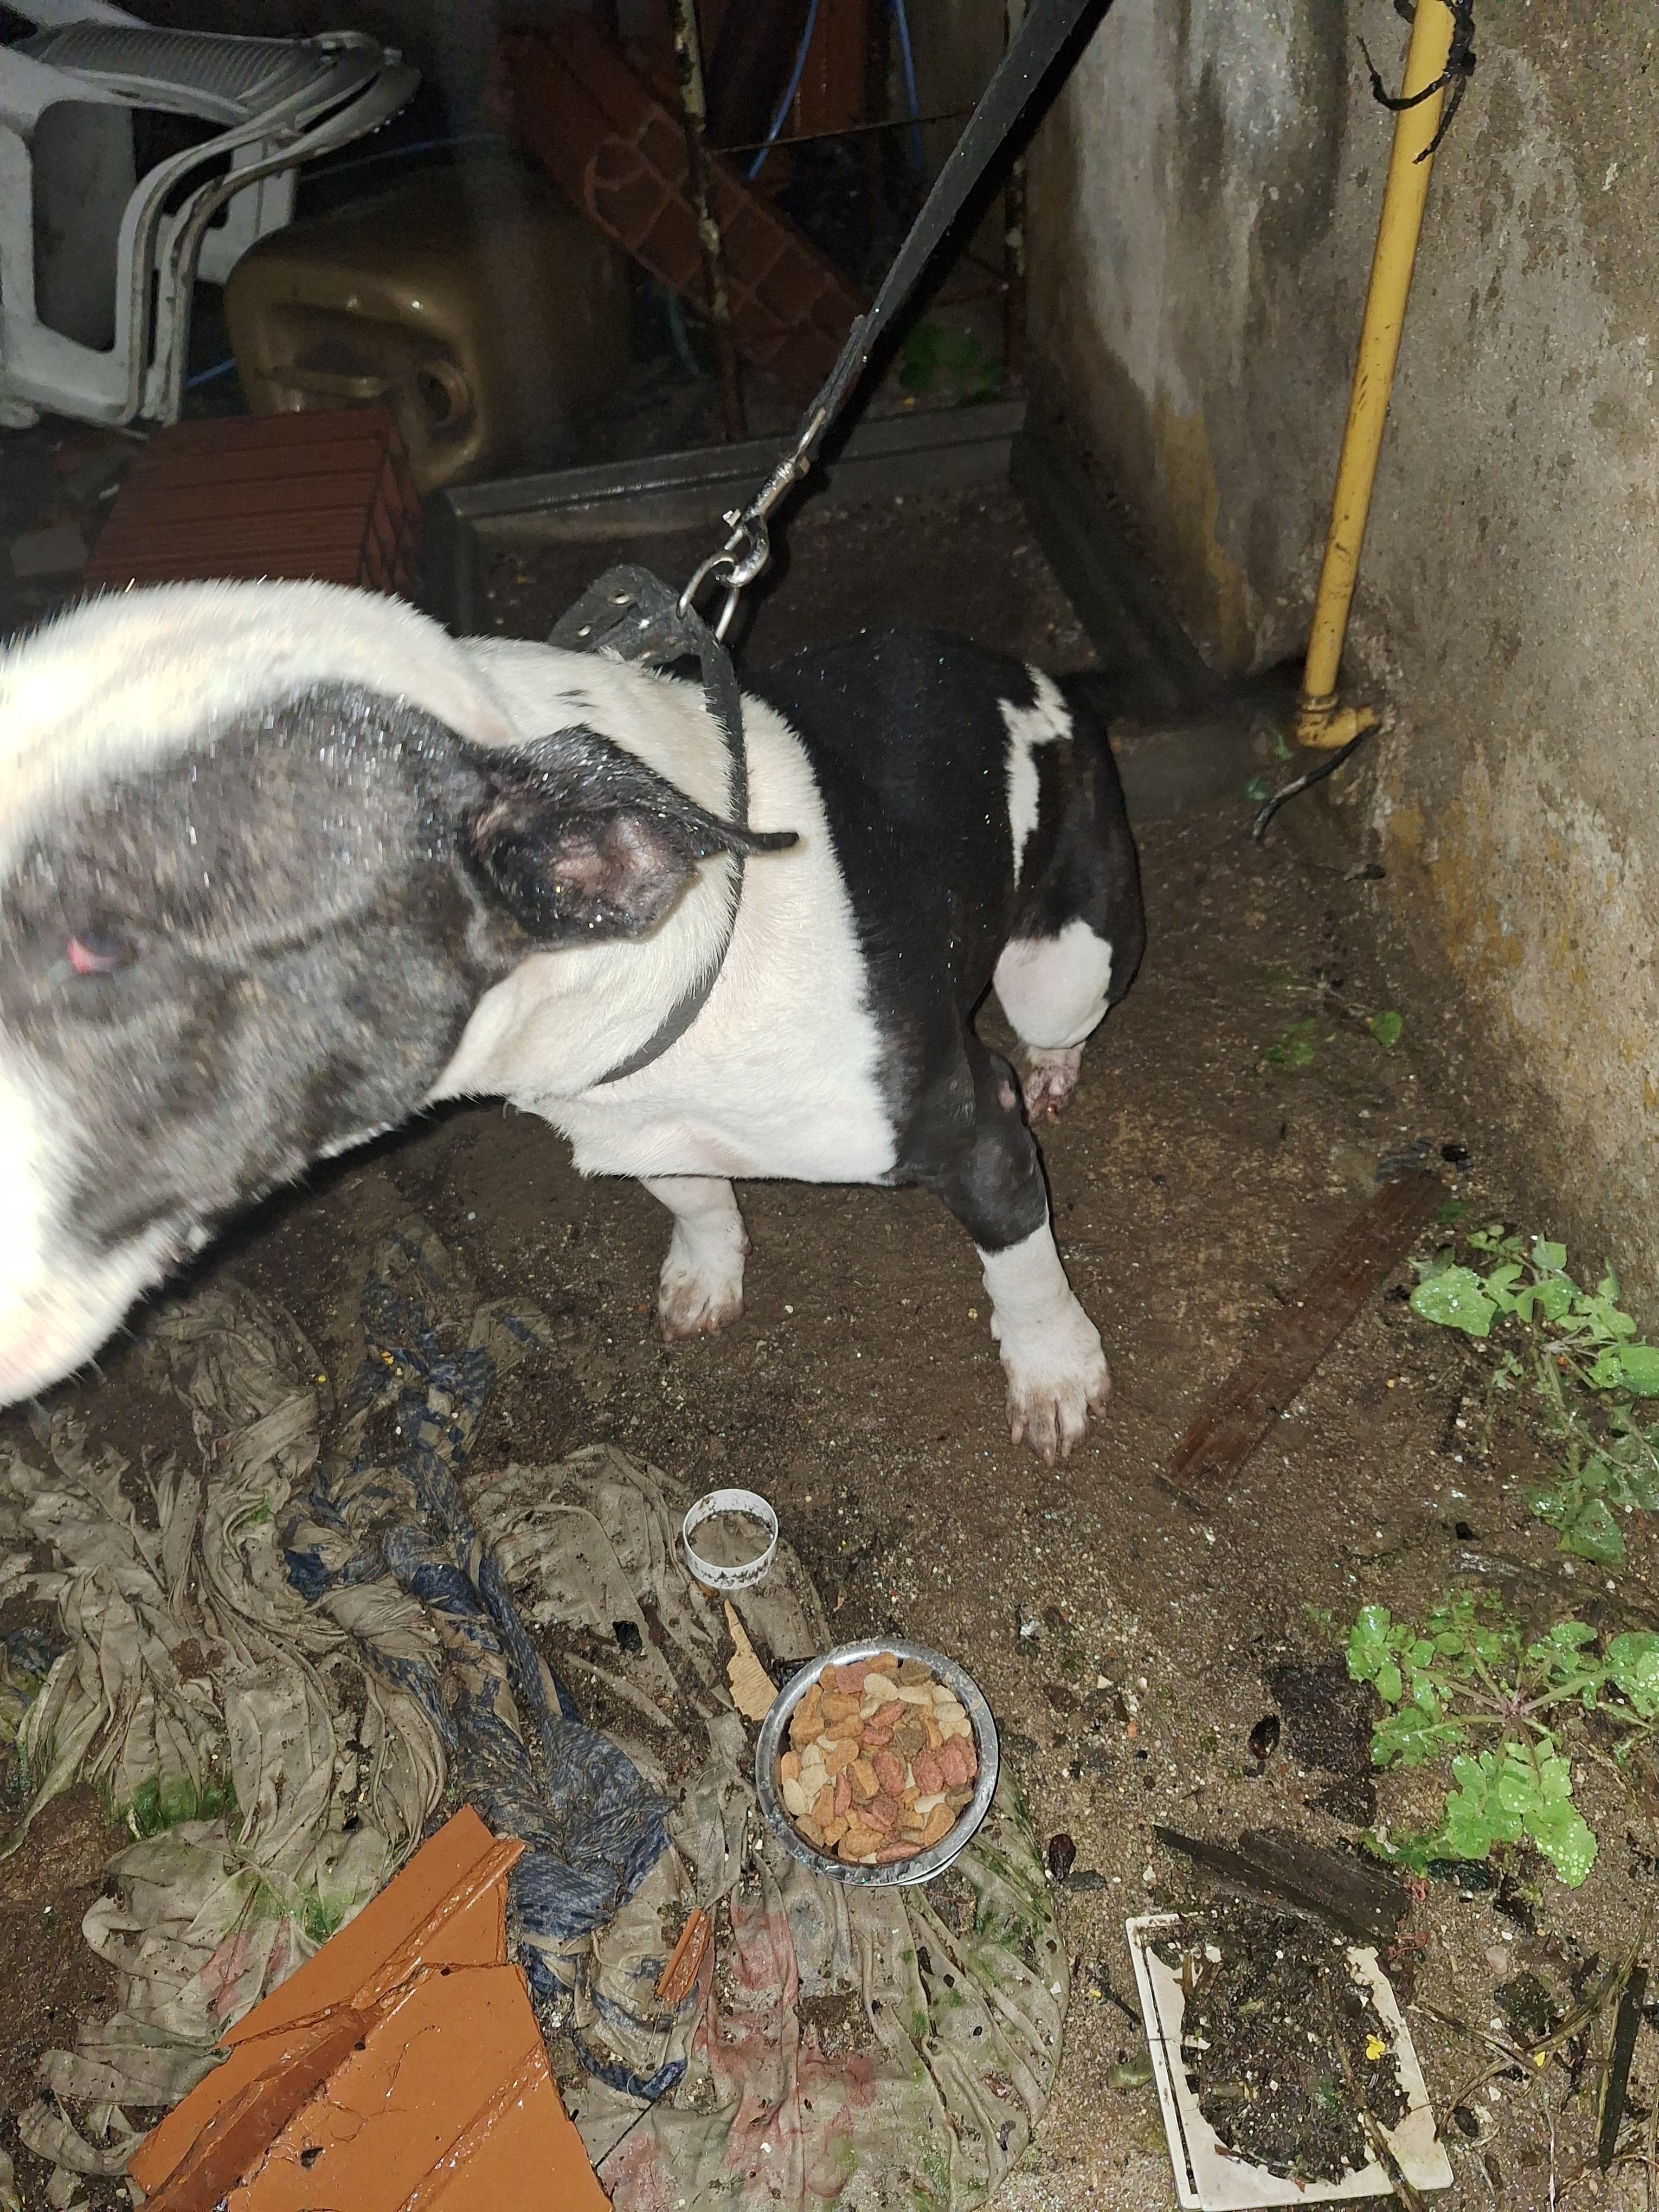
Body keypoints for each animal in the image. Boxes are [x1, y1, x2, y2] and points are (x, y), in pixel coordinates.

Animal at [0, 579, 1141, 1459]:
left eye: (100, 942)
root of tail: (1036, 673)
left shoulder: (974, 1131)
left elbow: (1022, 1261)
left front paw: (1054, 1374)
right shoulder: (640, 1124)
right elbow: (695, 1197)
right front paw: (705, 1275)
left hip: (1061, 964)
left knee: (1058, 1013)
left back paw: (1053, 1066)